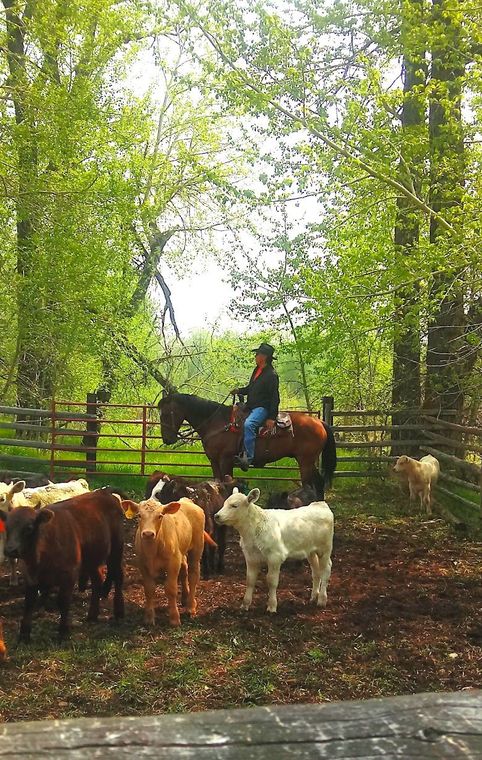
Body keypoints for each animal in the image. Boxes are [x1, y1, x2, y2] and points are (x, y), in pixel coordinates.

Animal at [5, 486, 124, 640]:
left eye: (29, 528)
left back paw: (119, 611)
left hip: (116, 549)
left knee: (118, 576)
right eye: (7, 527)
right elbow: (29, 602)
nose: (10, 550)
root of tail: (104, 492)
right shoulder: (31, 575)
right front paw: (24, 634)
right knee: (97, 580)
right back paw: (92, 614)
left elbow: (63, 601)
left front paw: (63, 631)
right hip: (92, 558)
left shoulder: (69, 574)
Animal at [121, 496, 214, 628]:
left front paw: (174, 619)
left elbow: (171, 589)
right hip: (181, 552)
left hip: (197, 547)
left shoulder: (173, 563)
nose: (148, 533)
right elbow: (149, 589)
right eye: (139, 515)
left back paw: (191, 607)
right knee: (184, 569)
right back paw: (185, 598)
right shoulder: (143, 565)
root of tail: (186, 501)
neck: (153, 550)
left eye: (160, 516)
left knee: (193, 575)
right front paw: (149, 618)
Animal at [156, 394, 338, 496]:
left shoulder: (226, 460)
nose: (167, 439)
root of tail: (319, 422)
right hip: (308, 461)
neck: (217, 423)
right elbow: (216, 483)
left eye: (165, 414)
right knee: (319, 483)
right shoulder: (214, 461)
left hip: (305, 461)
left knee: (310, 485)